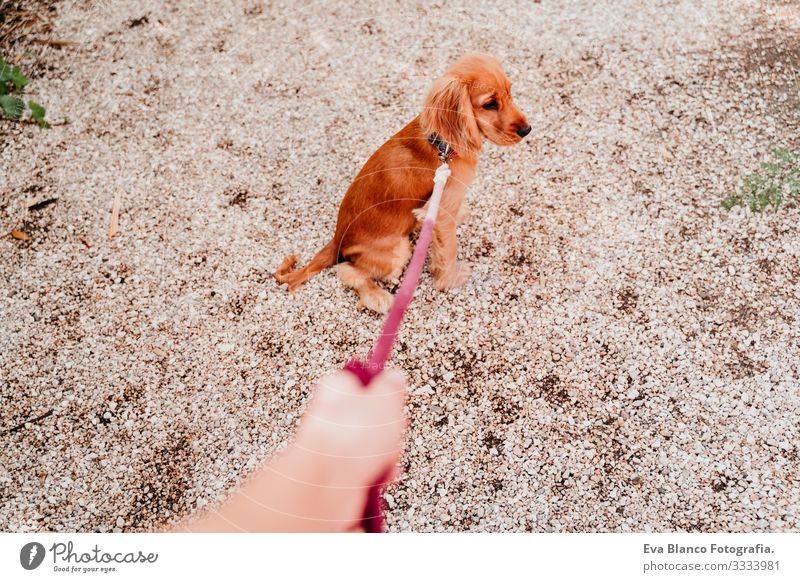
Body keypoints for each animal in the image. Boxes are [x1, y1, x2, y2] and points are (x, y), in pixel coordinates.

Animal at [276, 53, 532, 314]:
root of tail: (338, 239)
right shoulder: (442, 210)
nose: (527, 129)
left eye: (510, 93)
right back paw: (378, 296)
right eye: (490, 104)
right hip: (398, 250)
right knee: (347, 270)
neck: (443, 143)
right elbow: (449, 249)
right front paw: (451, 280)